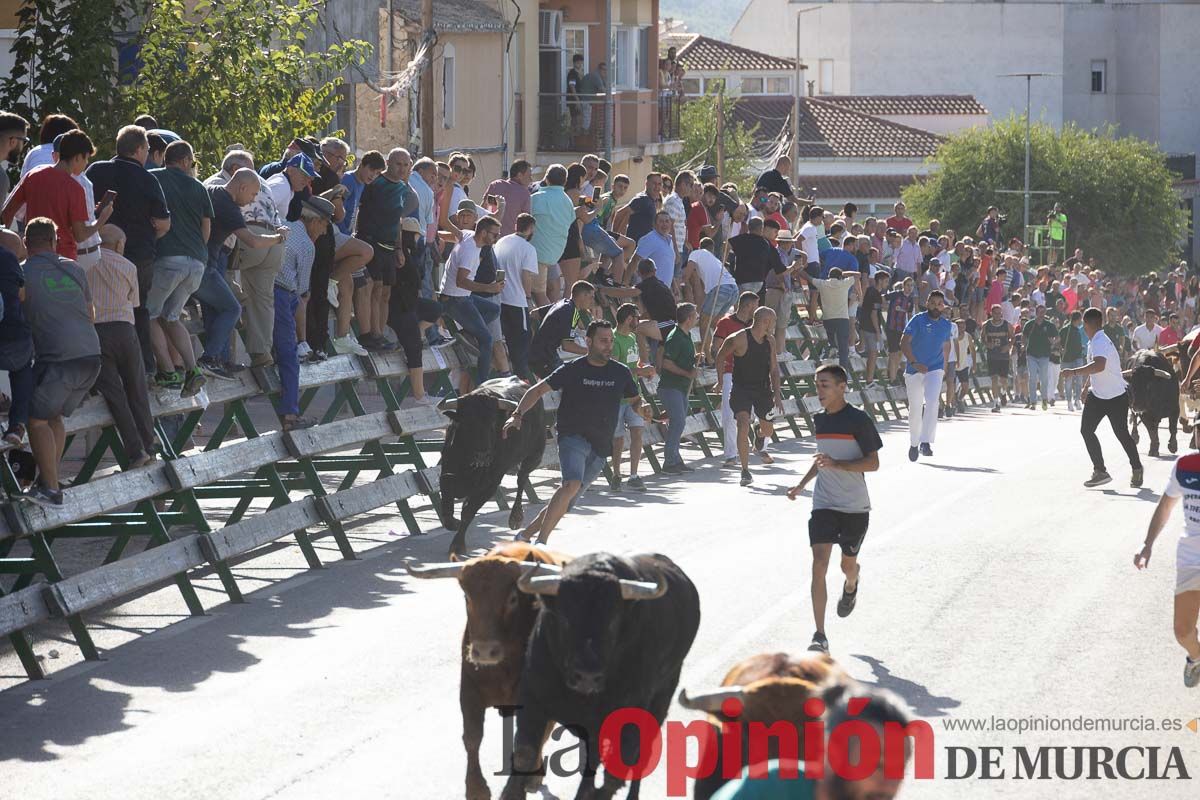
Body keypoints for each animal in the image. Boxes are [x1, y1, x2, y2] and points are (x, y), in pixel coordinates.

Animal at [405, 542, 568, 800]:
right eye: (467, 597)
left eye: (512, 598)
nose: (483, 651)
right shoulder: (469, 691)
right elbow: (472, 737)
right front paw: (476, 788)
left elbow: (525, 746)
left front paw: (513, 791)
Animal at [439, 376, 547, 561]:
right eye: (466, 423)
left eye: (492, 423)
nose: (483, 454)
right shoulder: (446, 472)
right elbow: (447, 501)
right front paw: (452, 523)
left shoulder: (490, 483)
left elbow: (468, 511)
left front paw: (458, 544)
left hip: (535, 455)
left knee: (522, 479)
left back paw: (516, 517)